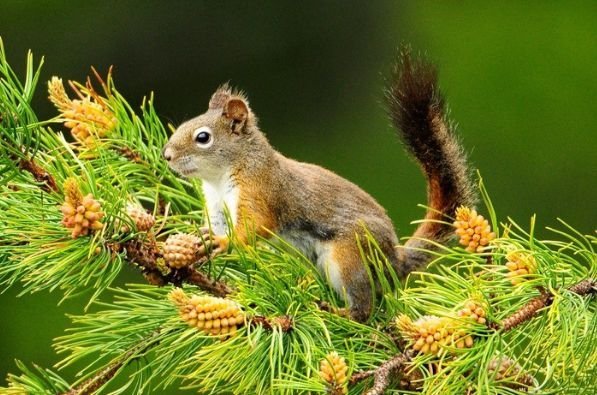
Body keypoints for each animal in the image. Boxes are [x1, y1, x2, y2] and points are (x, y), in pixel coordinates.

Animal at [162, 49, 474, 322]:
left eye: (203, 137)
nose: (167, 155)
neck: (219, 178)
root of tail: (394, 261)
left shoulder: (260, 191)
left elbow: (255, 226)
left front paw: (224, 242)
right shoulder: (216, 206)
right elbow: (215, 226)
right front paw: (201, 239)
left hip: (349, 256)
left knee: (364, 307)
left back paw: (340, 313)